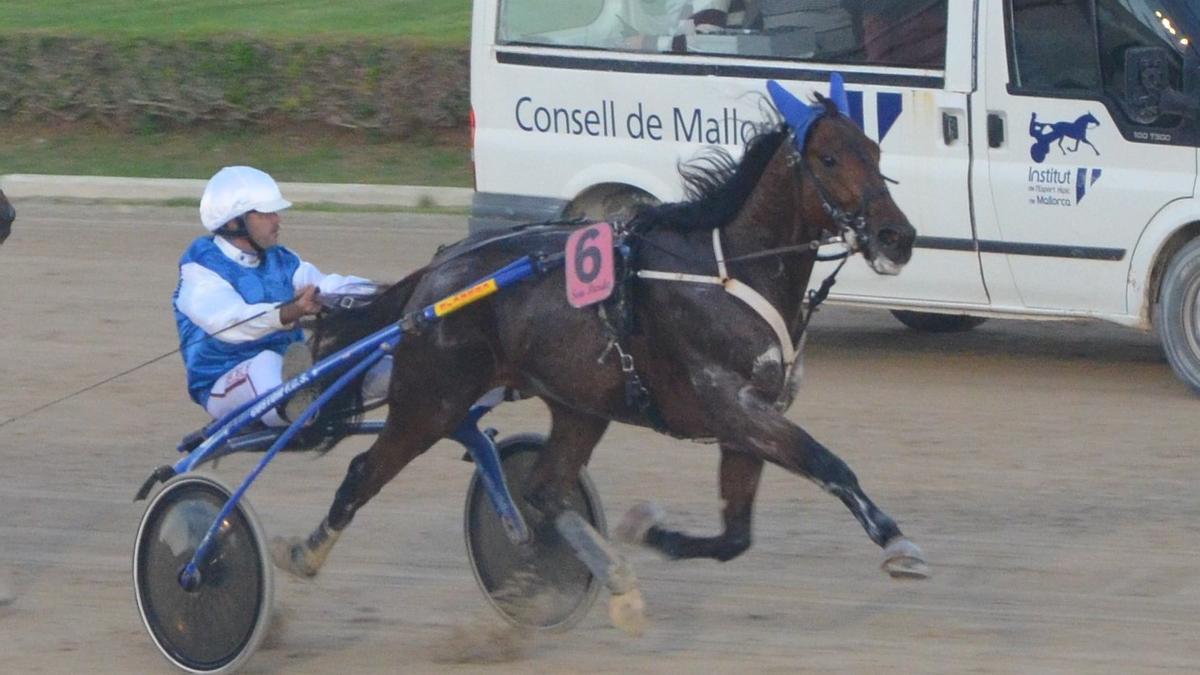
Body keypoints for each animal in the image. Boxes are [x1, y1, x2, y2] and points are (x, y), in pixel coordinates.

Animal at [274, 76, 926, 634]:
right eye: (829, 159)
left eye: (874, 150)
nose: (897, 237)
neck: (729, 272)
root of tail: (437, 275)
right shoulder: (733, 405)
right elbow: (828, 463)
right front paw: (898, 544)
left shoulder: (746, 421)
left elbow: (735, 536)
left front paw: (649, 531)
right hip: (431, 399)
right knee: (366, 471)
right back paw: (301, 553)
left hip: (579, 404)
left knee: (543, 489)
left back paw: (614, 580)